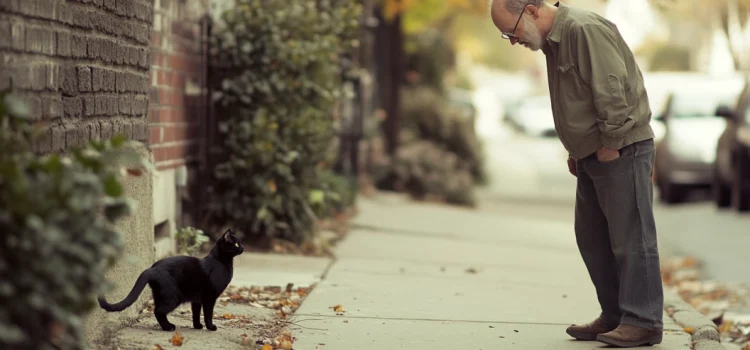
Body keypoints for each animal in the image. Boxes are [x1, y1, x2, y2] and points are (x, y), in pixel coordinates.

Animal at [97, 228, 244, 332]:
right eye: (237, 243)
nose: (243, 248)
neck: (220, 261)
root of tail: (151, 268)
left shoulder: (196, 299)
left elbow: (196, 313)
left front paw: (197, 326)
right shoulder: (209, 297)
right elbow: (208, 314)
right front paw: (211, 327)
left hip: (160, 295)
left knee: (158, 310)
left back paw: (167, 326)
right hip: (174, 297)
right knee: (158, 311)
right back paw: (169, 328)